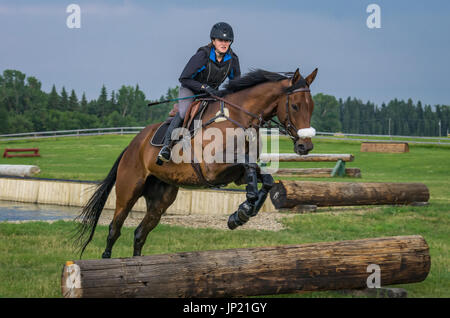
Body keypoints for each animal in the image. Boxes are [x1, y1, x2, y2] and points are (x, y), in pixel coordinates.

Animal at [74, 67, 316, 258]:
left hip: (160, 198)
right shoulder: (213, 169)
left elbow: (264, 178)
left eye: (312, 107)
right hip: (128, 191)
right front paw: (245, 209)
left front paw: (241, 213)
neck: (237, 118)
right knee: (114, 229)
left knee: (140, 233)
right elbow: (250, 167)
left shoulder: (235, 174)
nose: (305, 147)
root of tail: (133, 145)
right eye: (295, 106)